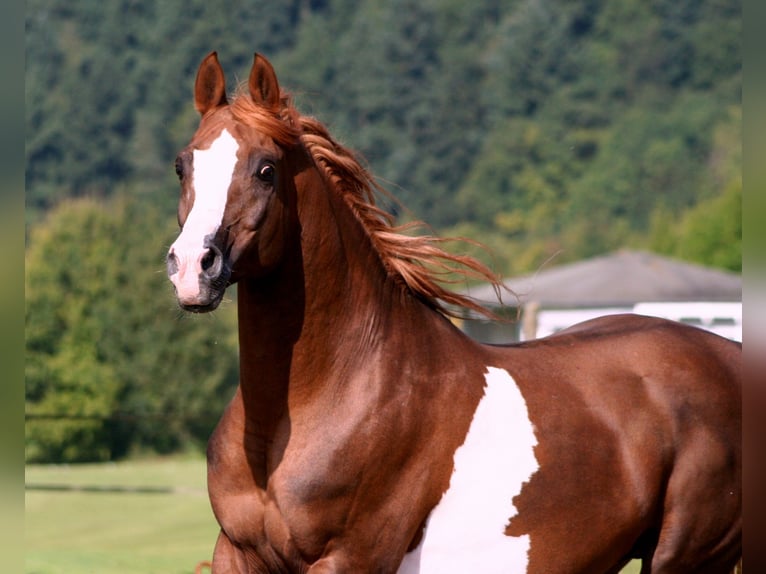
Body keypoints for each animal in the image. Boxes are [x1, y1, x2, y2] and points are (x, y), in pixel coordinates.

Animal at [167, 52, 741, 573]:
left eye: (266, 169)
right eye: (183, 165)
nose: (193, 267)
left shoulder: (349, 558)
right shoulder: (237, 553)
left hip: (688, 557)